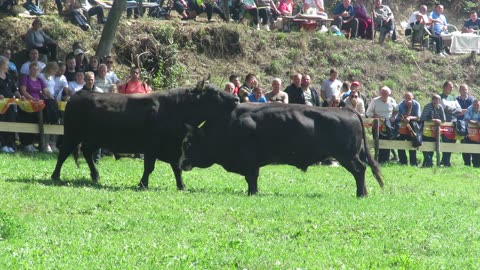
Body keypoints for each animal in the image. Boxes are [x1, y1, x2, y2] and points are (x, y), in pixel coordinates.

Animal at [178, 103, 384, 196]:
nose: (181, 163)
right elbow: (253, 178)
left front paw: (252, 193)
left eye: (188, 143)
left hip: (347, 156)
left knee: (360, 170)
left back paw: (360, 194)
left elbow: (250, 178)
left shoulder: (249, 162)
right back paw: (364, 193)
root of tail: (347, 110)